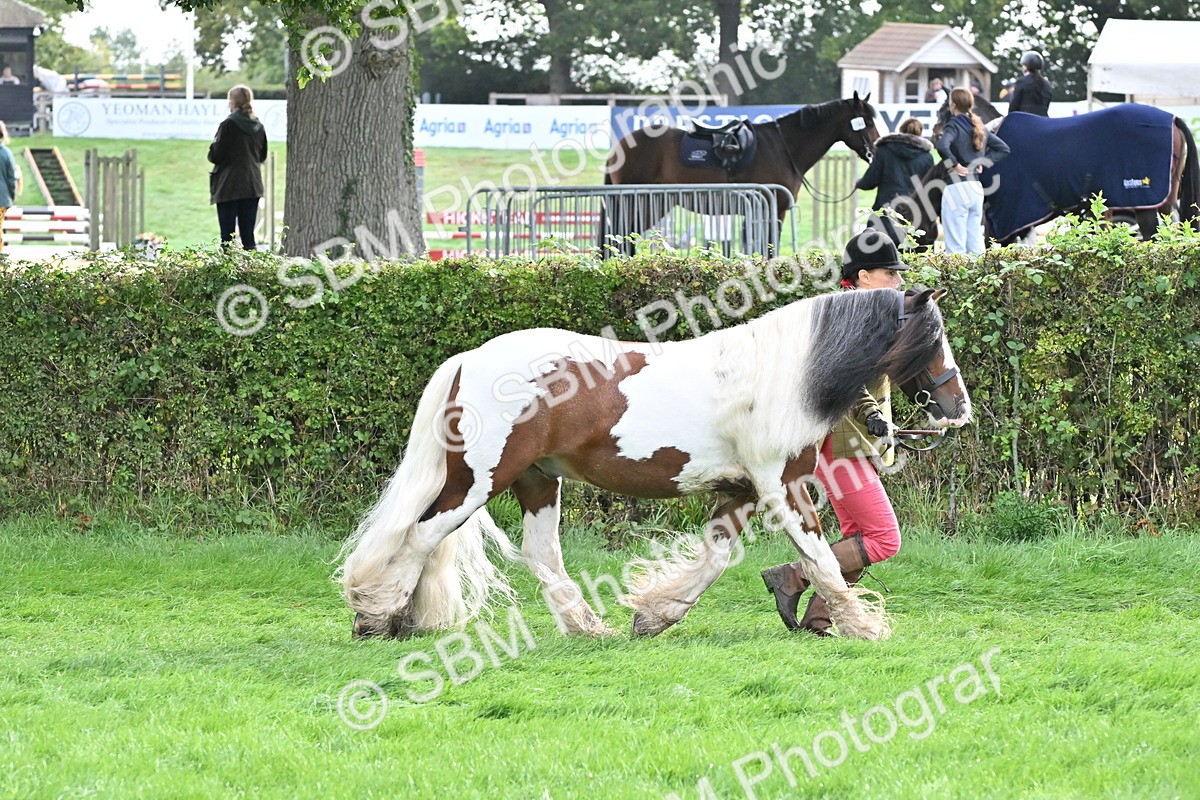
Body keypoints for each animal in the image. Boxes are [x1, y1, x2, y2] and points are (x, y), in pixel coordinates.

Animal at [338, 288, 972, 643]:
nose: (958, 407)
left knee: (539, 554)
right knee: (419, 537)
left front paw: (654, 615)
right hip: (478, 482)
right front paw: (864, 627)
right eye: (934, 336)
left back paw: (586, 628)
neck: (784, 375)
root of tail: (469, 359)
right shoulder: (782, 485)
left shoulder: (740, 491)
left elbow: (715, 558)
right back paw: (380, 618)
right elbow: (821, 559)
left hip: (536, 481)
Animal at [600, 94, 880, 256]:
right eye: (865, 120)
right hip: (639, 203)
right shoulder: (775, 208)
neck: (784, 147)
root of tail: (618, 148)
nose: (875, 151)